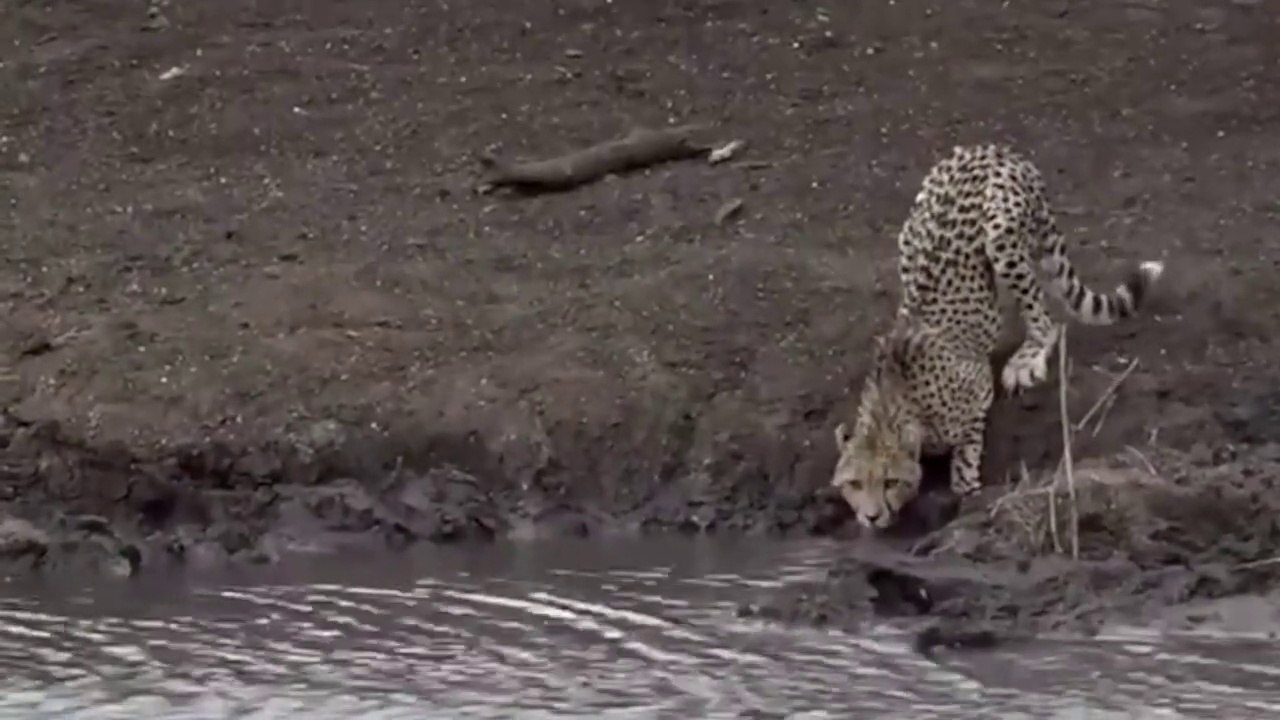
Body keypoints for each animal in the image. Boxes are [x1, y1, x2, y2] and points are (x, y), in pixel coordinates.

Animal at [830, 143, 1164, 530]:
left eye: (890, 482)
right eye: (854, 483)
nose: (870, 517)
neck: (892, 405)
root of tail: (991, 149)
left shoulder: (977, 390)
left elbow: (966, 451)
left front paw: (966, 485)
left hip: (1000, 235)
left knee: (1047, 320)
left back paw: (1027, 359)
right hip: (909, 236)